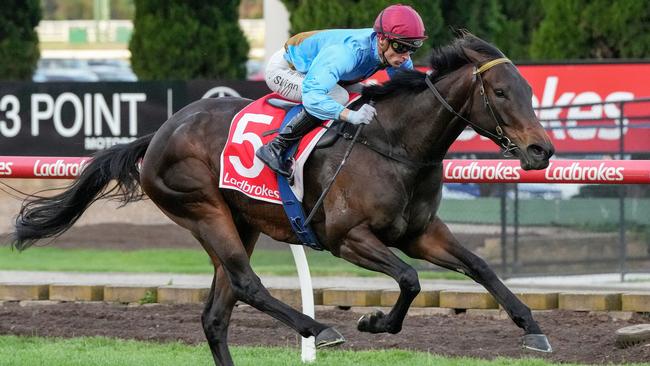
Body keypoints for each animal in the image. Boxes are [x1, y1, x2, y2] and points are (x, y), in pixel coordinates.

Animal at [11, 33, 552, 364]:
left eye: (529, 90)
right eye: (500, 93)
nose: (541, 150)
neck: (396, 143)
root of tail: (160, 132)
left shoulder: (420, 233)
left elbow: (479, 266)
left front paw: (532, 328)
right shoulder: (346, 237)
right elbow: (409, 279)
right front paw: (373, 321)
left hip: (240, 222)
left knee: (216, 314)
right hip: (203, 209)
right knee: (247, 285)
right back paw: (318, 329)